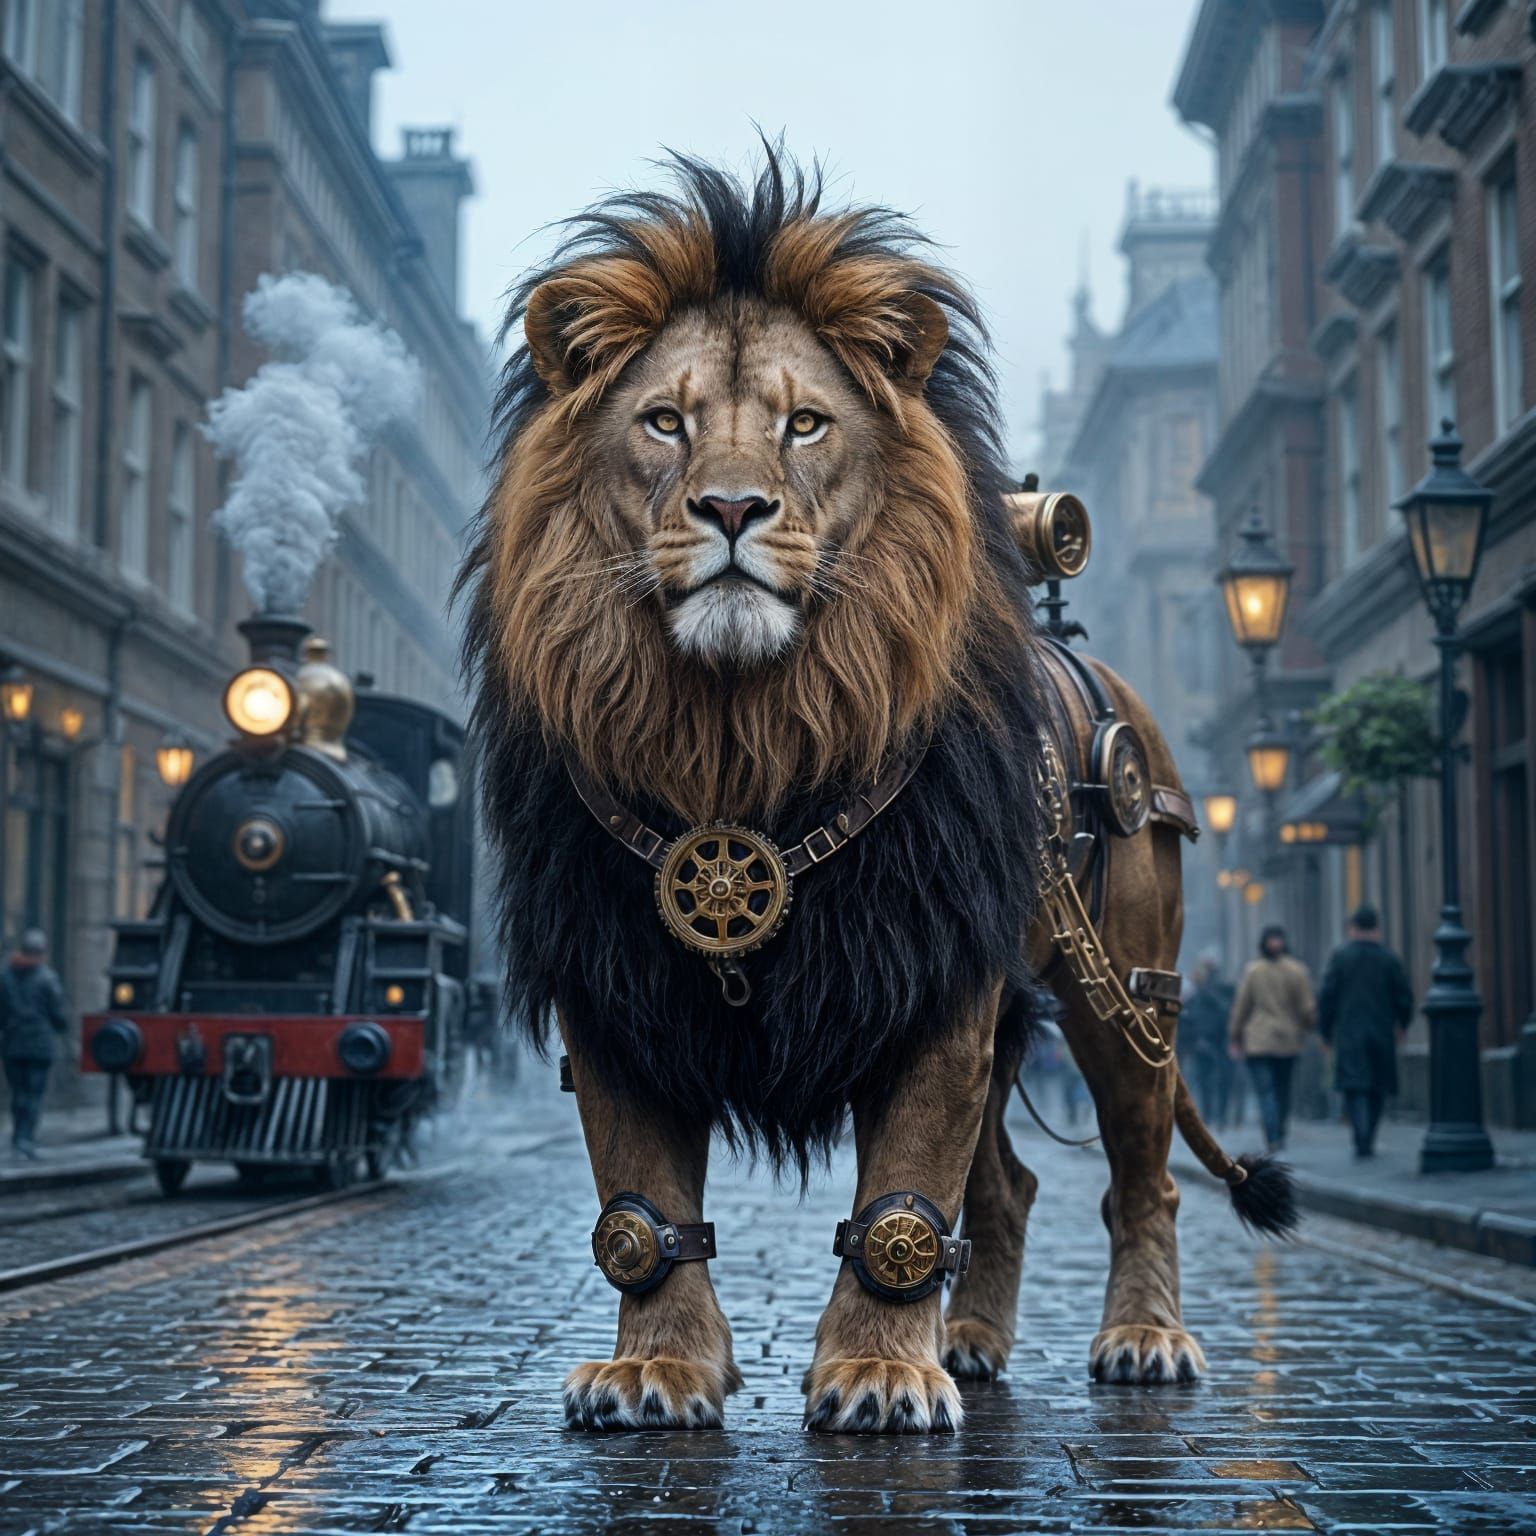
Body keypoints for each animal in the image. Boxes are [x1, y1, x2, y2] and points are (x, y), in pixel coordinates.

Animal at [460, 150, 1292, 1435]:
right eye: (665, 422)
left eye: (804, 424)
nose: (732, 510)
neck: (734, 731)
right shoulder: (616, 976)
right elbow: (642, 1212)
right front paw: (658, 1371)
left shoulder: (930, 972)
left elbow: (903, 1206)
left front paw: (881, 1375)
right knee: (1011, 1185)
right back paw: (978, 1345)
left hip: (1127, 995)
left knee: (1140, 1184)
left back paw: (1145, 1340)